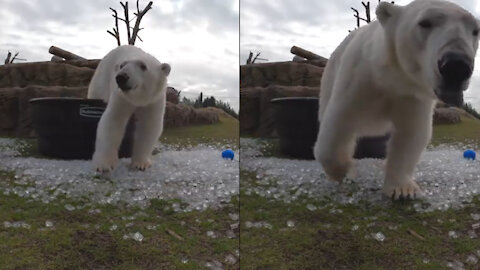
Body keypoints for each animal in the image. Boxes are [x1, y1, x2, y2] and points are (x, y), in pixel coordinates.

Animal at [314, 0, 478, 198]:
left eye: (476, 30)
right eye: (425, 22)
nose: (456, 65)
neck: (392, 77)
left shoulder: (412, 95)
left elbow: (411, 134)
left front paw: (402, 189)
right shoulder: (359, 79)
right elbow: (338, 123)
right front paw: (346, 172)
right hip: (330, 76)